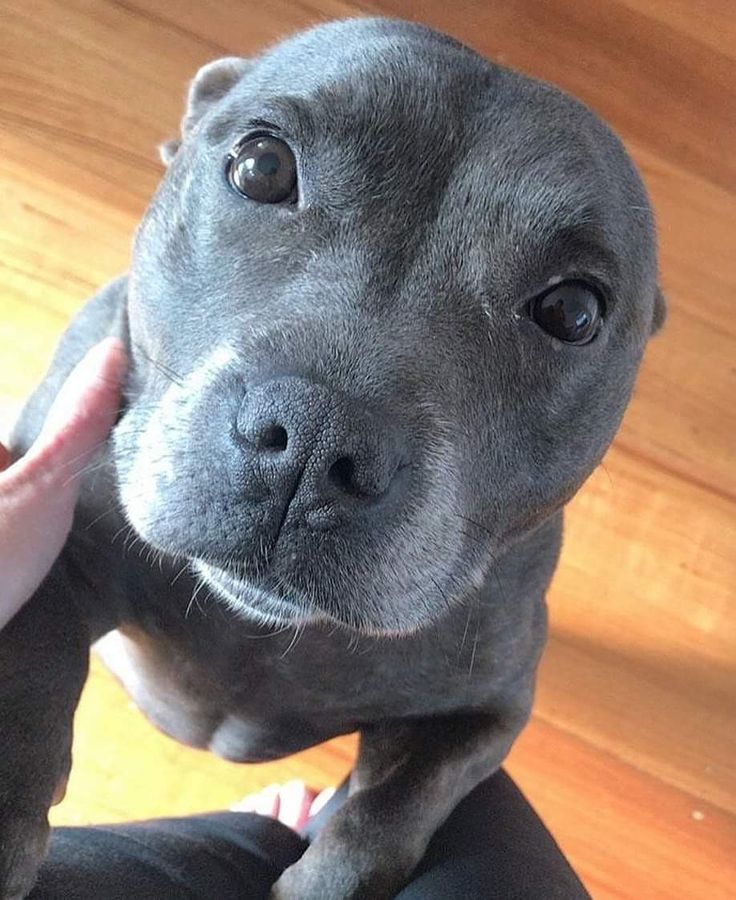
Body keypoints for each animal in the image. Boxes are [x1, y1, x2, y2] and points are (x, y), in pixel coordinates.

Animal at [0, 15, 664, 900]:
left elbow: (396, 808)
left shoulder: (491, 708)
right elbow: (32, 642)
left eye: (573, 311)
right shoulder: (47, 502)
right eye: (262, 165)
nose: (316, 444)